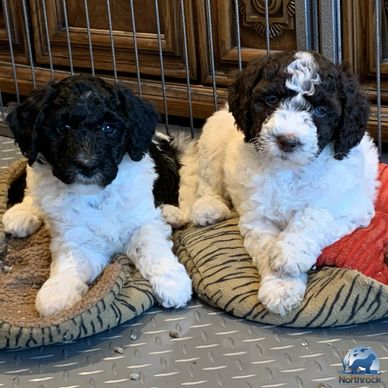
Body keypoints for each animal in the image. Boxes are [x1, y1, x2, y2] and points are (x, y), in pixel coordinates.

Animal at [2, 75, 192, 316]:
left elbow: (150, 245)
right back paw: (20, 214)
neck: (96, 193)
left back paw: (172, 213)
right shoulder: (75, 236)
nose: (87, 165)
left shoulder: (142, 219)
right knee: (31, 192)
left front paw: (172, 282)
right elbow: (71, 261)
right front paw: (56, 292)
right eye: (63, 127)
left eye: (108, 128)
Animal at [167, 50, 378, 316]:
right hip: (213, 140)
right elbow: (266, 246)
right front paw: (280, 286)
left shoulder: (352, 207)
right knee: (207, 179)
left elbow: (315, 215)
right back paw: (209, 208)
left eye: (320, 110)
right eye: (271, 99)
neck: (290, 170)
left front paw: (290, 254)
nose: (287, 141)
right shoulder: (258, 217)